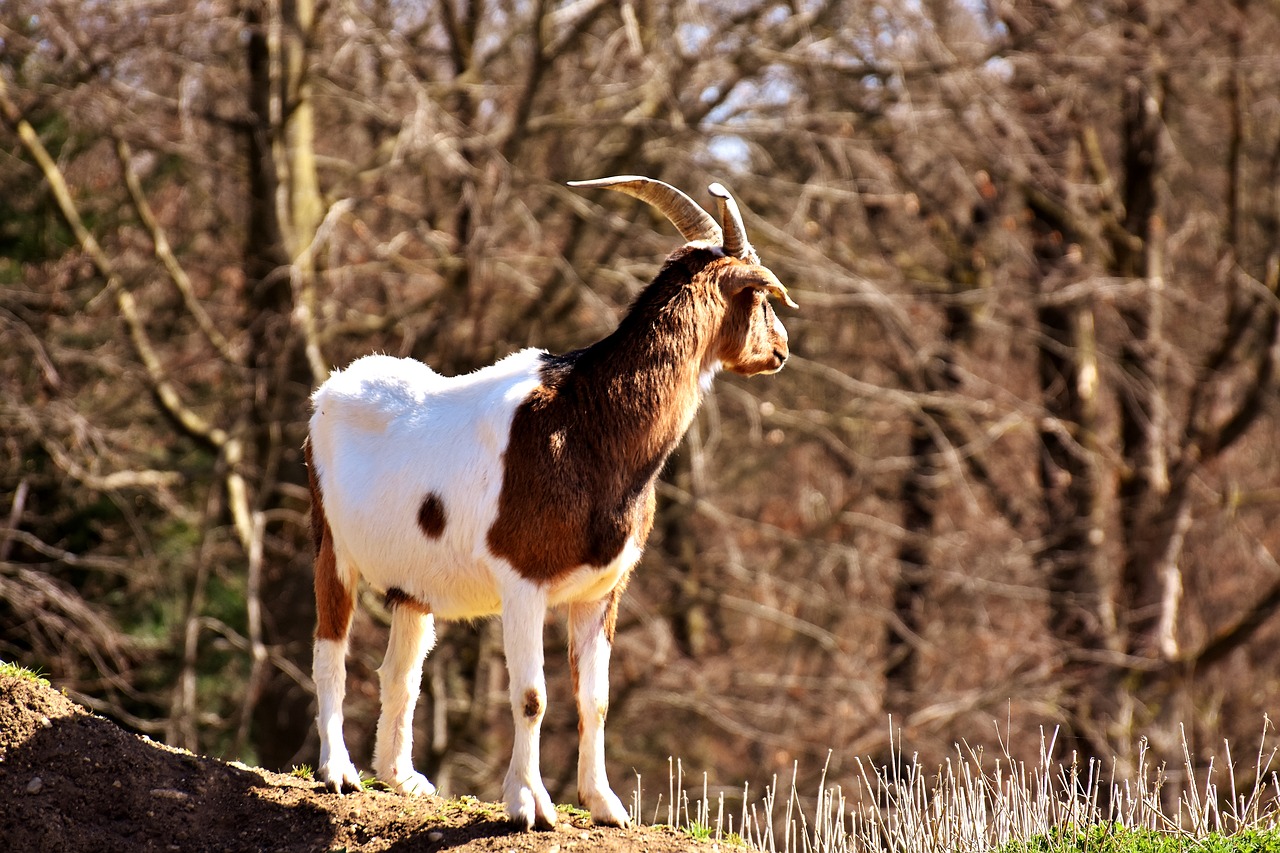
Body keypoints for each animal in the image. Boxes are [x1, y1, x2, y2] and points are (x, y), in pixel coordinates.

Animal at [304, 175, 793, 824]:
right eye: (759, 296)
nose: (781, 350)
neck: (586, 422)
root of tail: (330, 391)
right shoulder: (523, 583)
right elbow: (532, 695)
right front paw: (528, 803)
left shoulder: (600, 592)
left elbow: (595, 700)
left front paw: (605, 803)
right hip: (332, 548)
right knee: (329, 649)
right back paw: (339, 771)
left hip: (412, 584)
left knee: (400, 670)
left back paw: (402, 778)